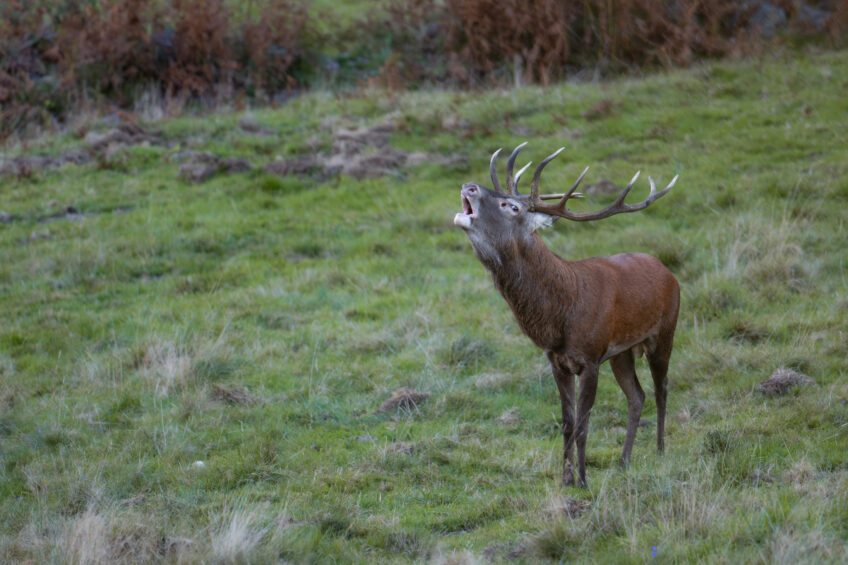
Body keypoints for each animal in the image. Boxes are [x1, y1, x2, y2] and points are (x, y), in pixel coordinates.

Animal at [453, 142, 680, 487]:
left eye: (511, 206)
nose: (469, 186)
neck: (559, 319)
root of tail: (668, 272)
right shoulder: (557, 361)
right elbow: (567, 423)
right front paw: (566, 479)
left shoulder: (590, 358)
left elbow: (584, 424)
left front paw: (584, 481)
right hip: (622, 352)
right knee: (637, 395)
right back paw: (624, 461)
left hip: (665, 331)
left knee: (661, 388)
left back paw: (660, 451)